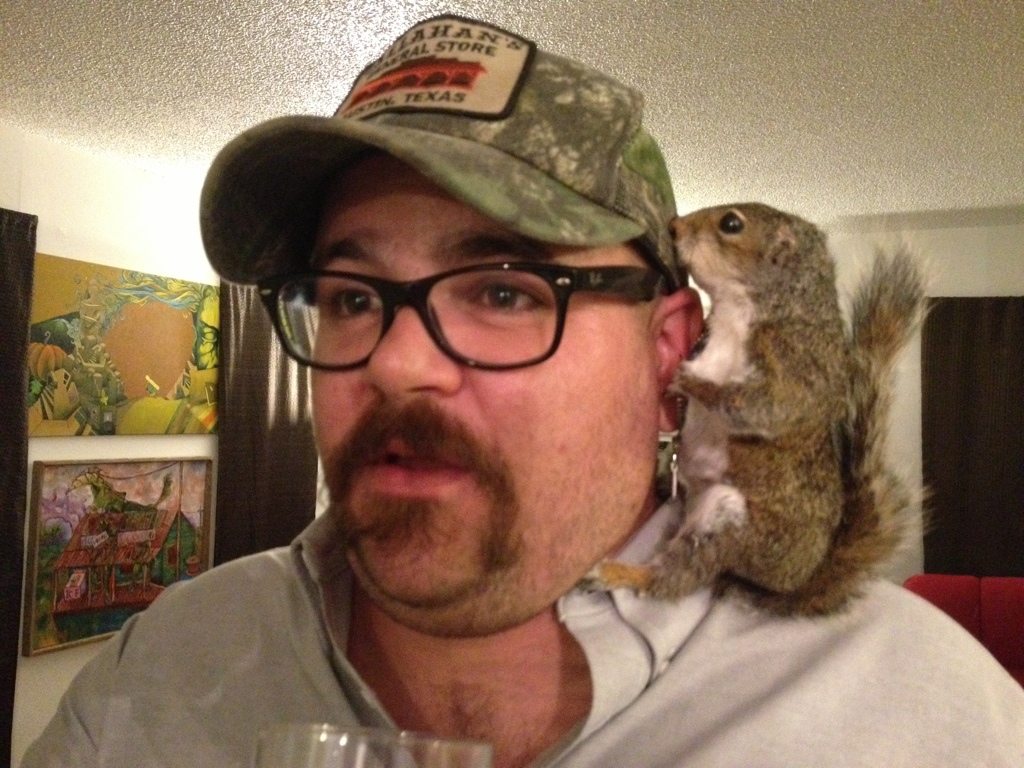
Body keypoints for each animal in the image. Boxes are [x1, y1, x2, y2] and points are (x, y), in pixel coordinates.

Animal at [589, 202, 926, 616]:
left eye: (731, 223)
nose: (674, 226)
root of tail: (790, 581)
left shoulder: (796, 366)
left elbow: (758, 407)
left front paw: (690, 382)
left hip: (733, 526)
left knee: (677, 576)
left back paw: (622, 574)